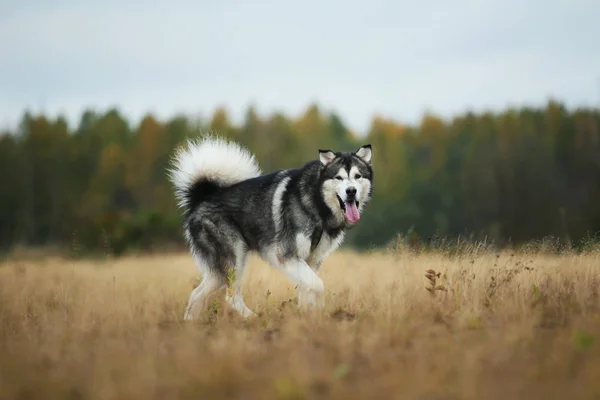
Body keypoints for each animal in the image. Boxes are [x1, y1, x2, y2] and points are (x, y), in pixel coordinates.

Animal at [169, 134, 372, 318]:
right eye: (338, 177)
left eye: (358, 176)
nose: (351, 191)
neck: (316, 203)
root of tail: (201, 198)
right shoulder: (286, 256)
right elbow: (318, 285)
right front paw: (318, 310)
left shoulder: (311, 261)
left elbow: (307, 290)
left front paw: (307, 316)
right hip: (235, 259)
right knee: (231, 297)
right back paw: (252, 318)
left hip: (219, 272)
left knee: (196, 294)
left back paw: (191, 325)